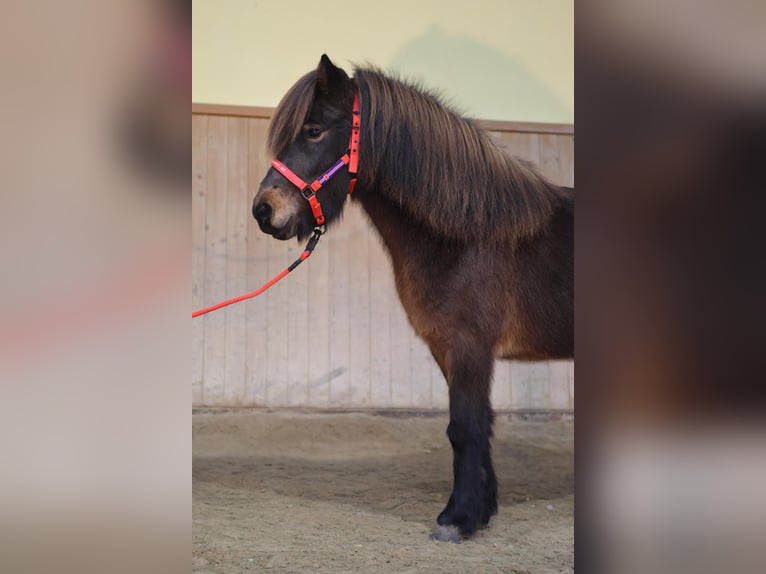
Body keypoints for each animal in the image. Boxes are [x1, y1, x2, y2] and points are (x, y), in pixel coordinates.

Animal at [255, 55, 572, 544]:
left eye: (313, 130)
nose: (263, 210)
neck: (470, 233)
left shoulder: (468, 347)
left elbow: (464, 427)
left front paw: (457, 519)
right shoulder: (446, 349)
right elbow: (479, 424)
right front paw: (481, 510)